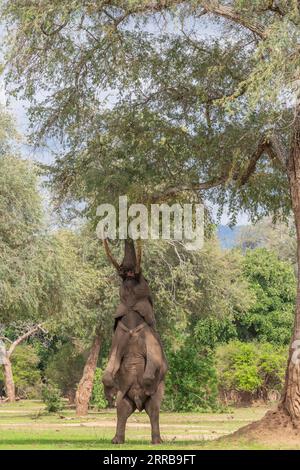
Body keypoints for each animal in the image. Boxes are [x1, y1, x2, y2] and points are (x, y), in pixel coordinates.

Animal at [102, 241, 168, 442]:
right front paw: (109, 394)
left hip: (157, 395)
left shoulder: (150, 336)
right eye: (122, 277)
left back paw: (157, 441)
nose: (128, 271)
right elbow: (111, 364)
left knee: (154, 409)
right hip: (125, 397)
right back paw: (116, 440)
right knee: (122, 409)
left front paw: (147, 387)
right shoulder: (118, 336)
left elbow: (157, 362)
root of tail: (138, 406)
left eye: (143, 278)